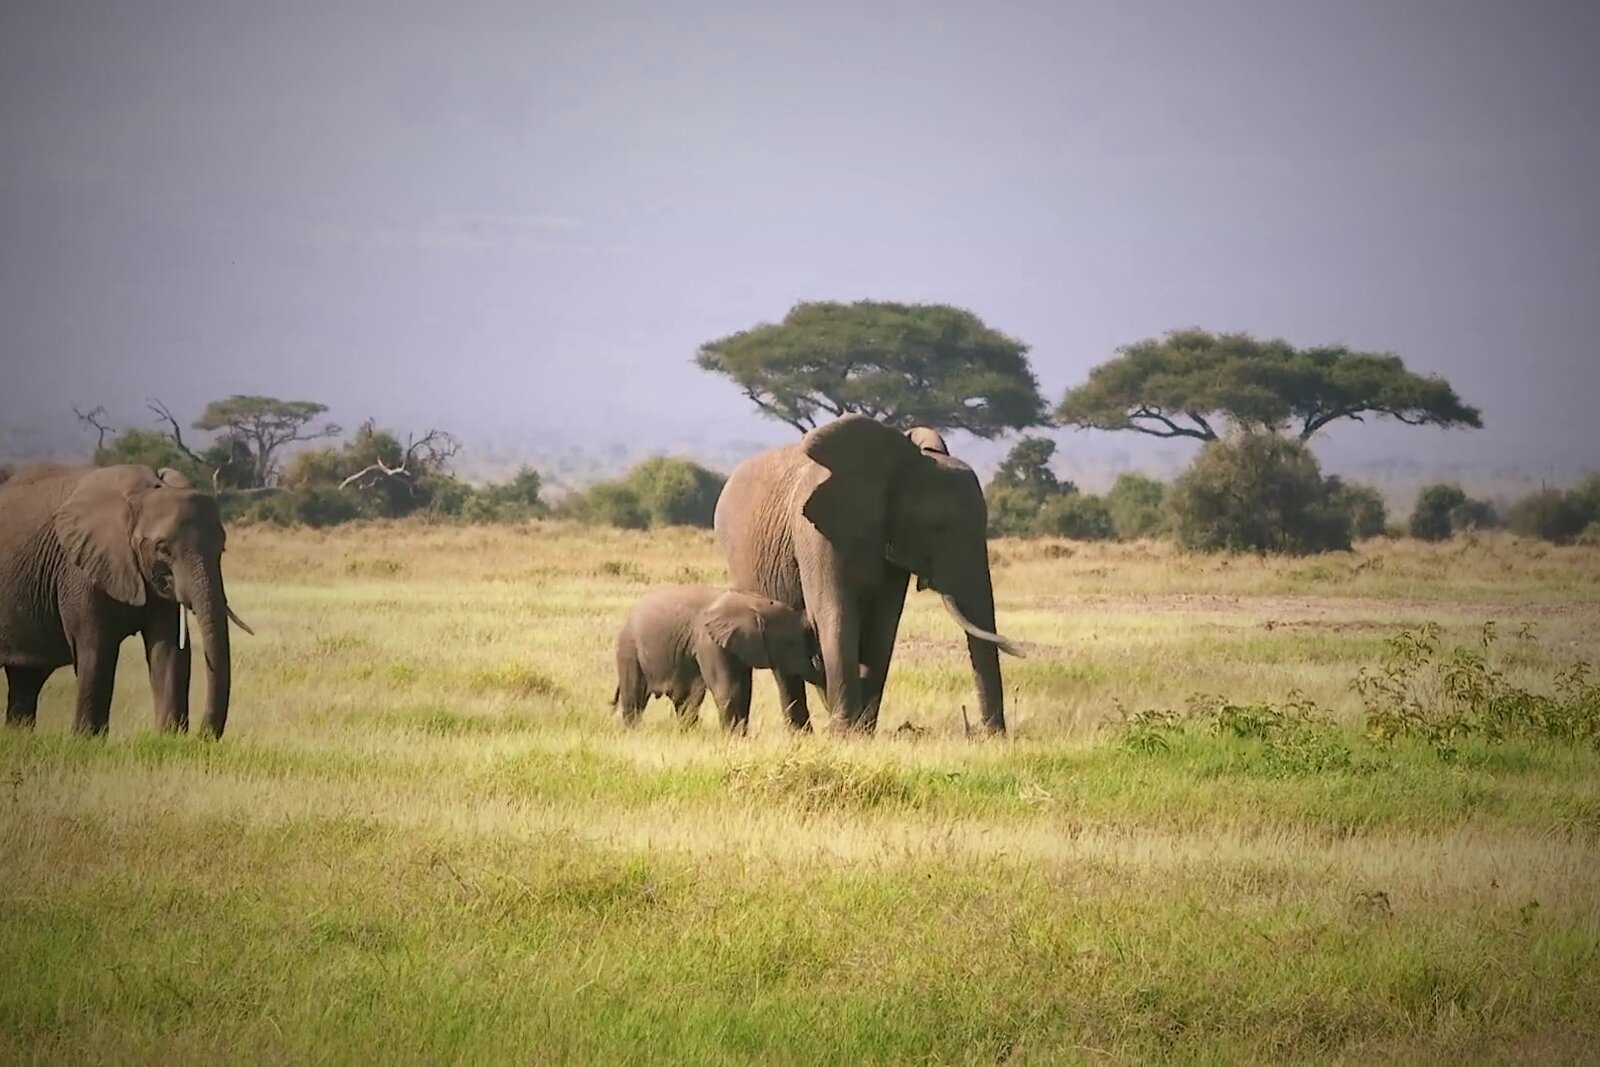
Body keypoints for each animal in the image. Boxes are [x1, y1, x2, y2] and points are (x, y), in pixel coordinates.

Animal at [0, 463, 252, 737]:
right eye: (163, 548)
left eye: (222, 548)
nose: (203, 736)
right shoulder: (79, 570)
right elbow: (96, 649)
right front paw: (87, 739)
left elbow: (167, 650)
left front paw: (168, 737)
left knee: (26, 679)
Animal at [613, 585, 824, 733]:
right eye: (792, 643)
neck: (754, 603)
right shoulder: (709, 641)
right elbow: (729, 689)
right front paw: (732, 738)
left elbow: (744, 690)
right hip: (628, 649)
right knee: (635, 697)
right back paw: (634, 732)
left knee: (686, 700)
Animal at [713, 415, 1024, 735]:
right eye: (937, 527)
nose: (987, 733)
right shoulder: (815, 533)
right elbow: (833, 612)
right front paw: (844, 733)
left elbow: (883, 625)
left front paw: (862, 731)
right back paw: (803, 732)